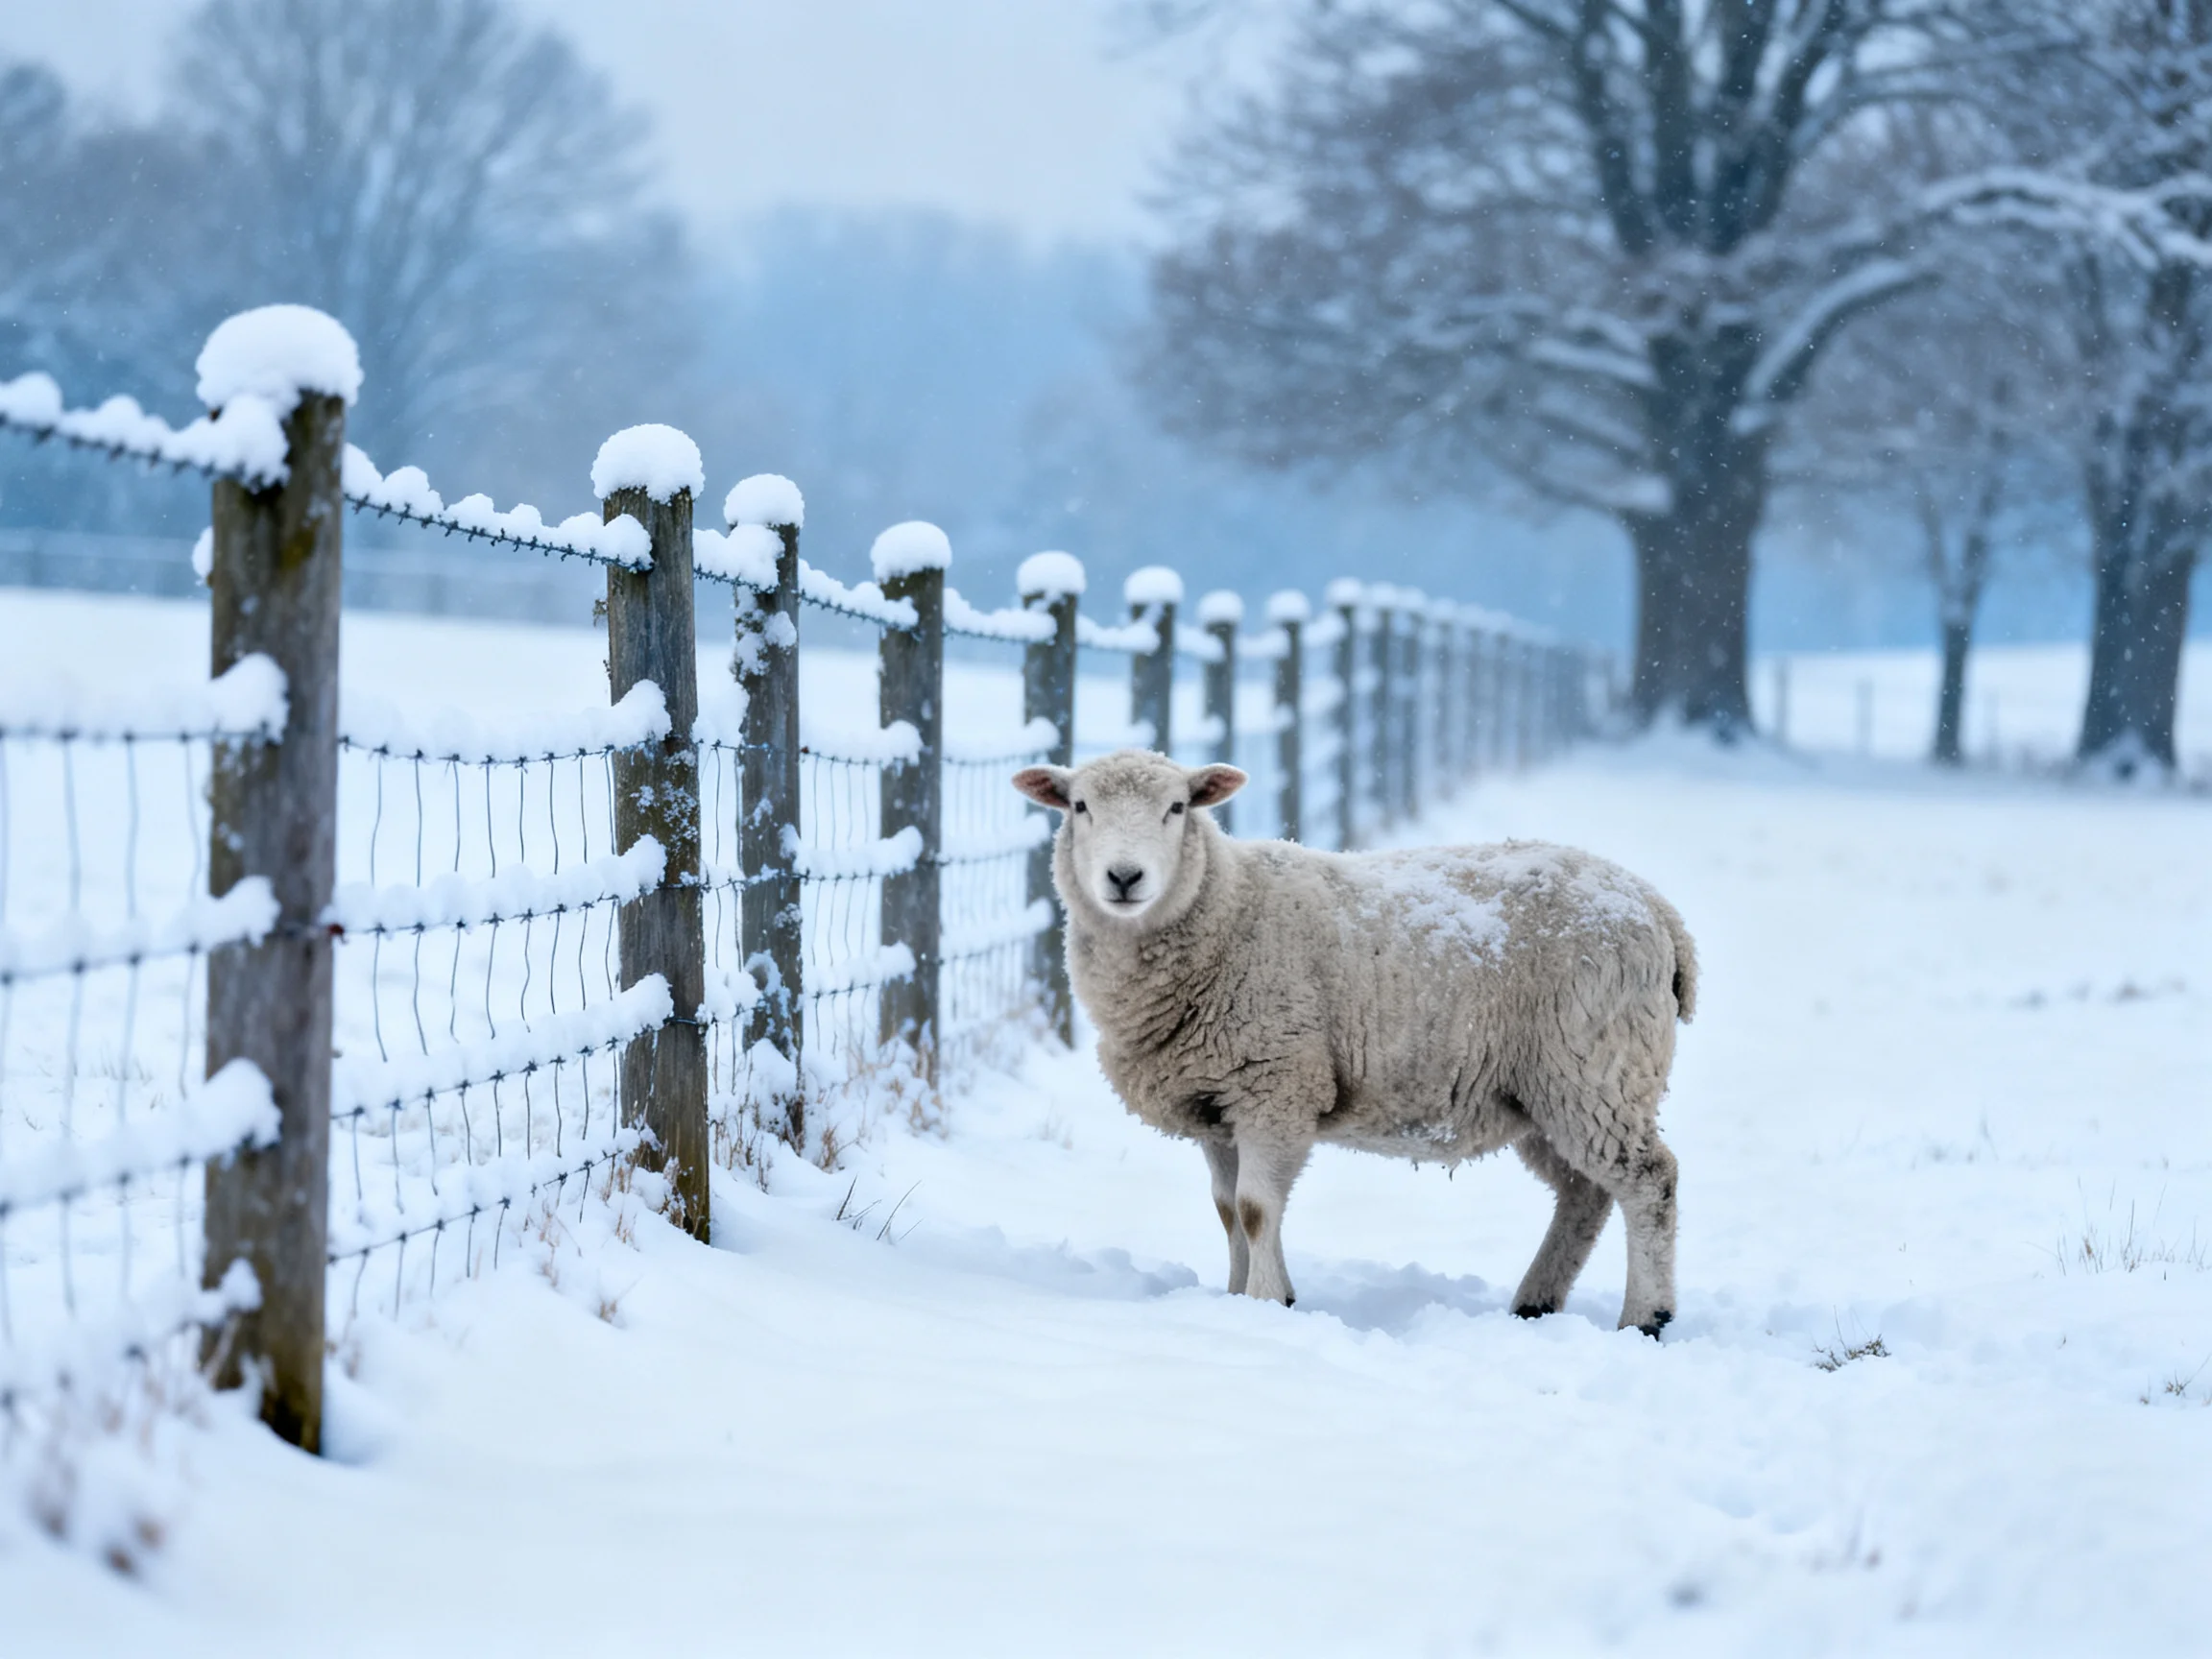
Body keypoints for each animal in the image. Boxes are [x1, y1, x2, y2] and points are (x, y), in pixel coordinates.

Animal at [1012, 749, 1697, 1336]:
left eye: (1177, 807)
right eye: (1079, 806)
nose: (1124, 877)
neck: (1226, 907)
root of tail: (1658, 909)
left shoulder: (1276, 1084)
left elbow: (1256, 1208)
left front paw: (1268, 1302)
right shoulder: (1218, 1104)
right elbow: (1227, 1209)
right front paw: (1234, 1299)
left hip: (1594, 1066)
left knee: (1649, 1180)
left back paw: (1647, 1317)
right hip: (1544, 1091)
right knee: (1584, 1193)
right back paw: (1536, 1302)